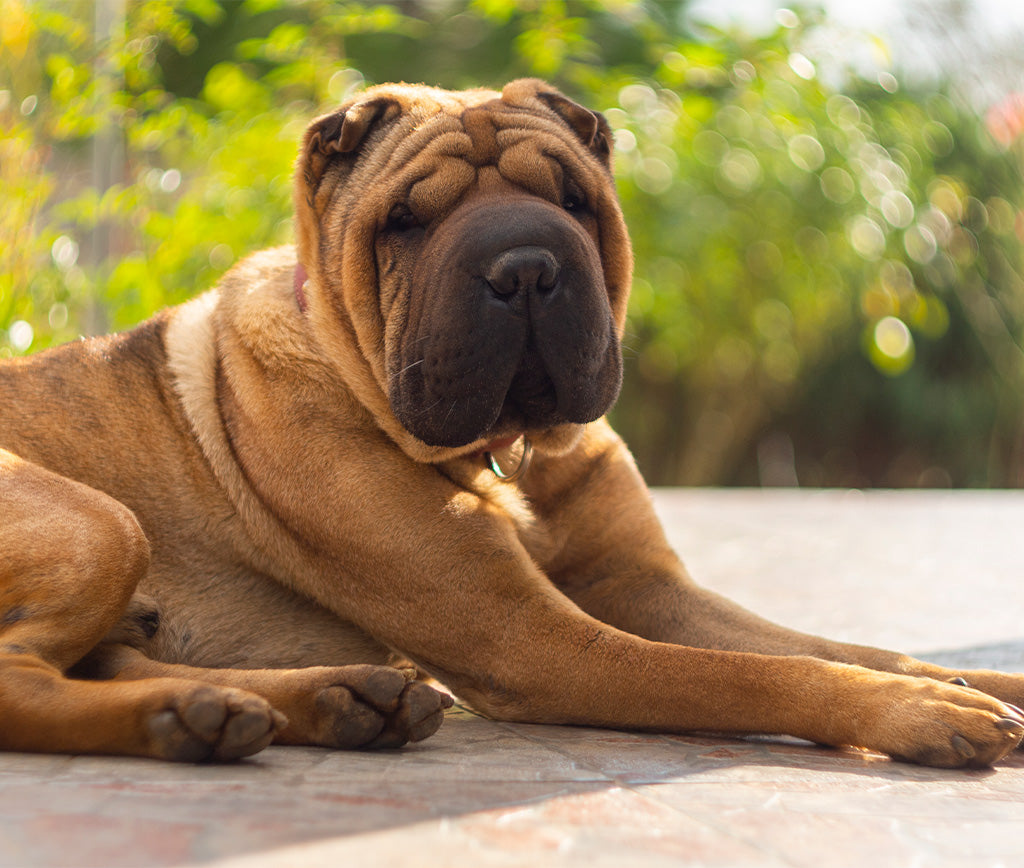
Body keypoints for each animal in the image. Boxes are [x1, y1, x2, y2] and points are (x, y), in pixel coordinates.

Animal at [2, 77, 1024, 761]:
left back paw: (304, 701)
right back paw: (199, 718)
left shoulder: (641, 584)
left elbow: (844, 645)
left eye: (573, 199)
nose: (527, 265)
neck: (509, 456)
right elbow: (762, 674)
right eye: (406, 221)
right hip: (99, 522)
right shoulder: (537, 641)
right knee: (24, 683)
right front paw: (923, 712)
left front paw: (974, 681)